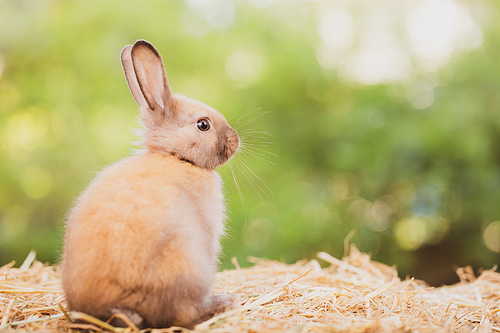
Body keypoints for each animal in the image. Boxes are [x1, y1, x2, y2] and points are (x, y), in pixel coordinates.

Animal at [60, 40, 240, 328]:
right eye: (203, 125)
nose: (236, 140)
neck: (177, 157)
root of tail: (108, 308)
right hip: (188, 262)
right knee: (183, 314)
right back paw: (224, 302)